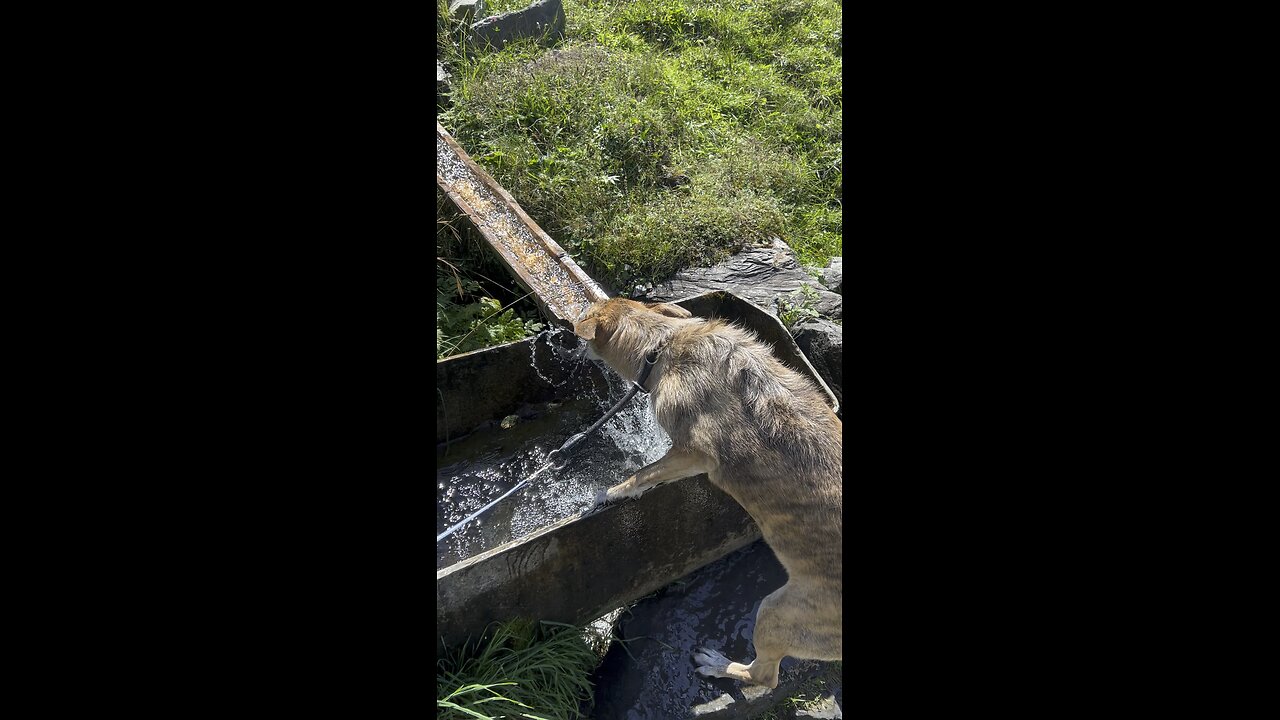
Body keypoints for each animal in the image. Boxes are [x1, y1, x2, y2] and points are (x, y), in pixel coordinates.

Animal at [573, 295, 839, 681]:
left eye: (583, 317)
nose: (569, 339)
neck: (662, 345)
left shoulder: (695, 452)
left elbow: (644, 474)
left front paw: (611, 493)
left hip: (779, 611)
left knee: (763, 678)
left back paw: (718, 665)